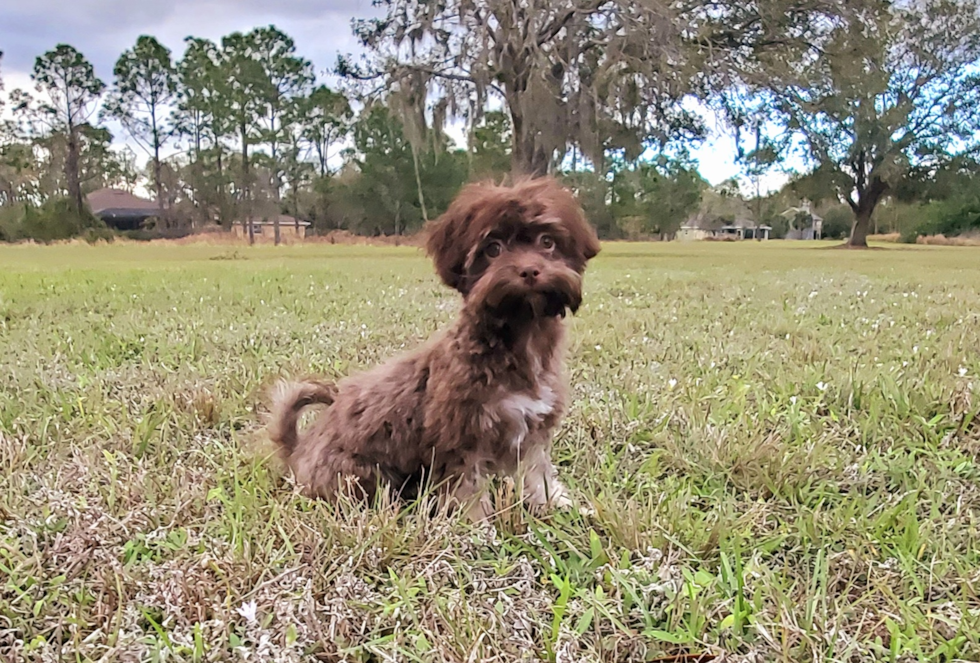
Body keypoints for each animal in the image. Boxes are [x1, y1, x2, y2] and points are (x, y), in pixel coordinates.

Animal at [272, 179, 600, 520]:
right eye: (493, 248)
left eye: (547, 242)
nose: (530, 271)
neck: (522, 338)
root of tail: (298, 452)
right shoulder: (461, 441)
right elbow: (468, 491)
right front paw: (477, 526)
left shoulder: (534, 432)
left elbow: (538, 476)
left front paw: (560, 507)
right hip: (359, 475)